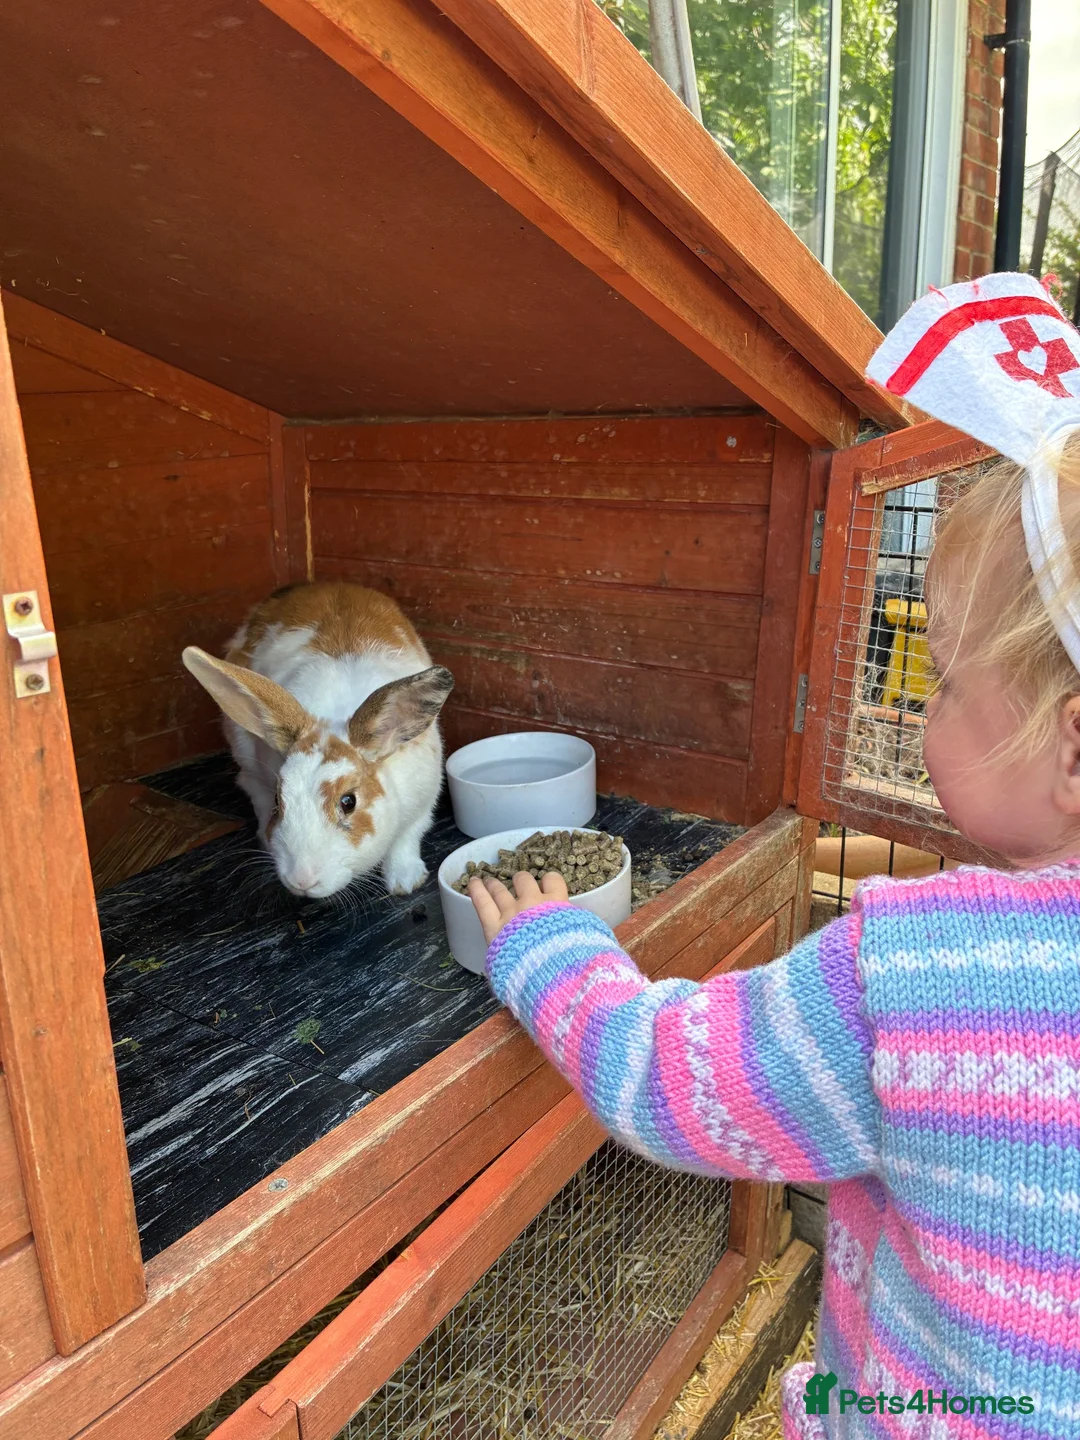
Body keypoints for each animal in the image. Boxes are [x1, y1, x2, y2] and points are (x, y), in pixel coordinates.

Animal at [182, 581, 453, 900]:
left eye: (348, 802)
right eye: (279, 800)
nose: (302, 881)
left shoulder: (423, 804)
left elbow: (405, 841)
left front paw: (405, 882)